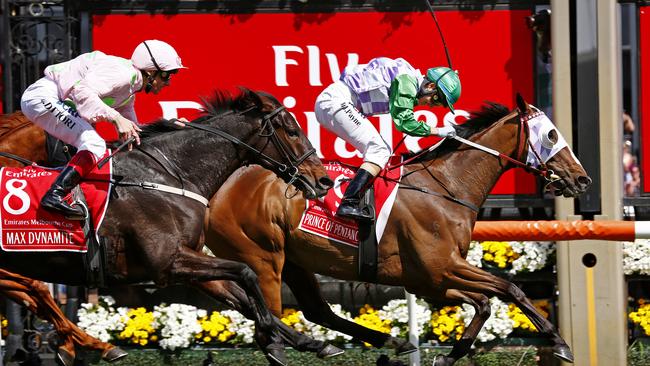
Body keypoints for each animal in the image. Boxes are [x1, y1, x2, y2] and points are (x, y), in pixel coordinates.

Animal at [0, 89, 336, 366]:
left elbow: (242, 295)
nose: (324, 180)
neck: (171, 175)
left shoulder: (189, 263)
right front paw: (271, 335)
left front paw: (312, 342)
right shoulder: (168, 263)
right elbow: (247, 273)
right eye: (291, 131)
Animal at [205, 96, 588, 364]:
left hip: (295, 261)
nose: (582, 179)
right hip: (264, 257)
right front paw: (560, 343)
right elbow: (510, 289)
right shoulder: (442, 266)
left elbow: (483, 303)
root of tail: (218, 187)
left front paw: (447, 356)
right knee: (267, 322)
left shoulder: (429, 279)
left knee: (312, 311)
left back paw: (381, 342)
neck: (445, 187)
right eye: (552, 134)